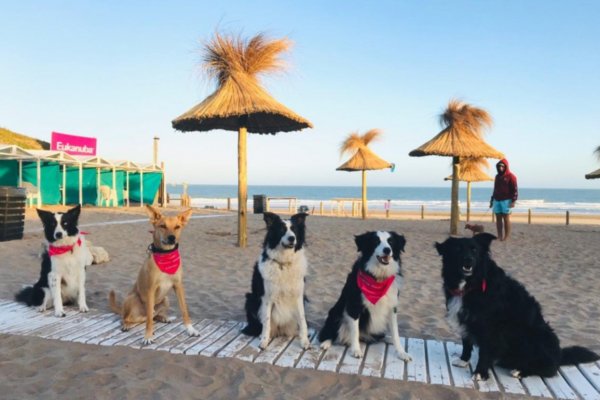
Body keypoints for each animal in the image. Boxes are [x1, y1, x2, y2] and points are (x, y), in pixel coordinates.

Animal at [108, 205, 199, 346]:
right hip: (132, 298)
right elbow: (149, 320)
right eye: (162, 226)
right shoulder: (151, 289)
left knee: (153, 316)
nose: (172, 238)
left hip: (165, 299)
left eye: (177, 227)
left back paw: (163, 317)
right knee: (128, 317)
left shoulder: (178, 286)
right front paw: (148, 336)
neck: (166, 255)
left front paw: (190, 329)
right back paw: (126, 324)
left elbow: (184, 310)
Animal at [241, 212, 312, 350]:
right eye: (281, 230)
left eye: (294, 230)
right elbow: (267, 321)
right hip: (250, 298)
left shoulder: (299, 296)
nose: (292, 238)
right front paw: (264, 341)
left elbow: (302, 320)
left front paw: (305, 341)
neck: (283, 263)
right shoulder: (267, 297)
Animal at [318, 230, 412, 360]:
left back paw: (387, 339)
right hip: (335, 314)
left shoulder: (392, 306)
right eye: (376, 241)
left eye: (391, 242)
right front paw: (356, 350)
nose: (387, 250)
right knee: (329, 333)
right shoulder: (354, 306)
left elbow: (395, 332)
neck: (378, 276)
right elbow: (355, 330)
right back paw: (326, 342)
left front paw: (401, 352)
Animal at [436, 234, 600, 382]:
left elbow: (484, 352)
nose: (468, 260)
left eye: (474, 250)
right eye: (458, 249)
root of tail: (559, 356)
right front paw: (463, 360)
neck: (472, 284)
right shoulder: (465, 318)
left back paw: (521, 370)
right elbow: (466, 342)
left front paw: (480, 373)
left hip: (539, 337)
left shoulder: (490, 327)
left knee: (549, 369)